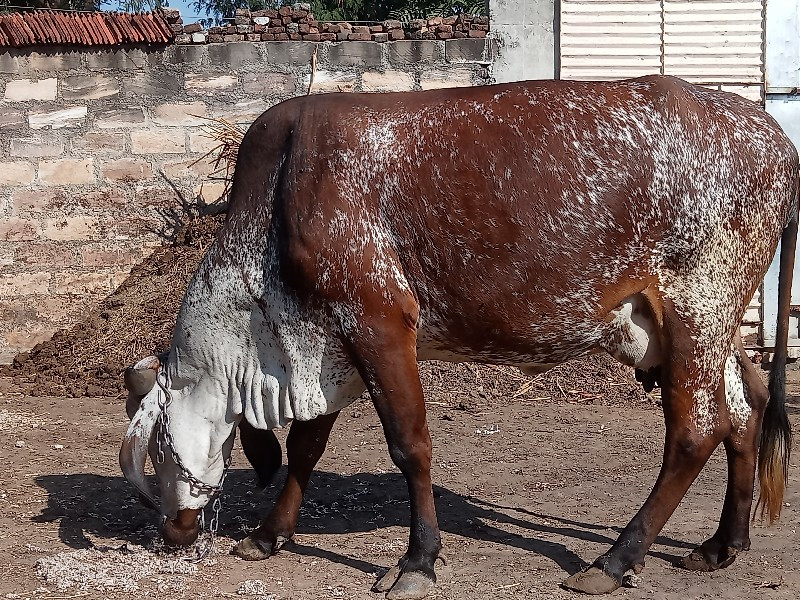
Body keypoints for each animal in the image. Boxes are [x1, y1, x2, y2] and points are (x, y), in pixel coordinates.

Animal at [122, 76, 796, 600]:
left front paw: (417, 561)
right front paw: (267, 535)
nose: (171, 531)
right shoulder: (329, 345)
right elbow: (306, 446)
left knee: (696, 431)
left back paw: (616, 559)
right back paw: (722, 544)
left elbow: (409, 446)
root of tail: (774, 138)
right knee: (745, 410)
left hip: (697, 308)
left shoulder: (379, 322)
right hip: (701, 325)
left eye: (157, 448)